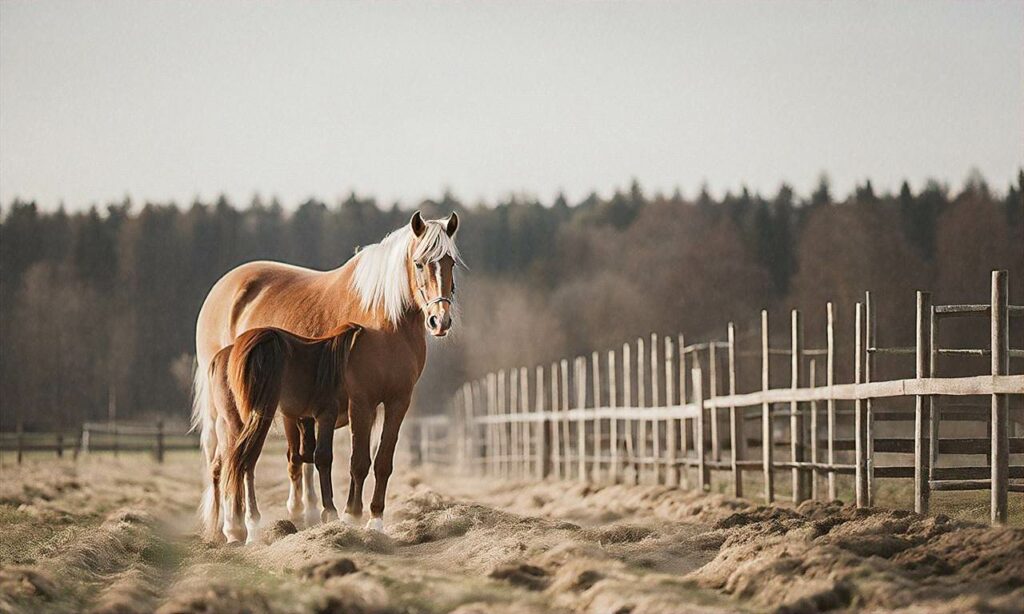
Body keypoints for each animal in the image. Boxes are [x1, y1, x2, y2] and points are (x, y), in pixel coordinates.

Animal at [205, 325, 362, 540]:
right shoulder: (328, 414)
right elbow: (328, 458)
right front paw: (332, 512)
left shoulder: (305, 419)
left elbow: (304, 457)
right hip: (257, 418)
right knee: (245, 463)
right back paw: (250, 526)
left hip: (229, 424)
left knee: (223, 466)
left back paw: (229, 529)